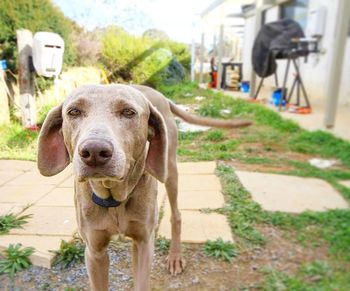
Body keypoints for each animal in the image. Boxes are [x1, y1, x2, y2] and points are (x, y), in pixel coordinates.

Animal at [37, 83, 250, 290]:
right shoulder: (94, 251)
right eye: (74, 112)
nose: (94, 151)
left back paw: (175, 256)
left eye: (128, 112)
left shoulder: (144, 243)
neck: (113, 196)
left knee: (176, 215)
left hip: (169, 170)